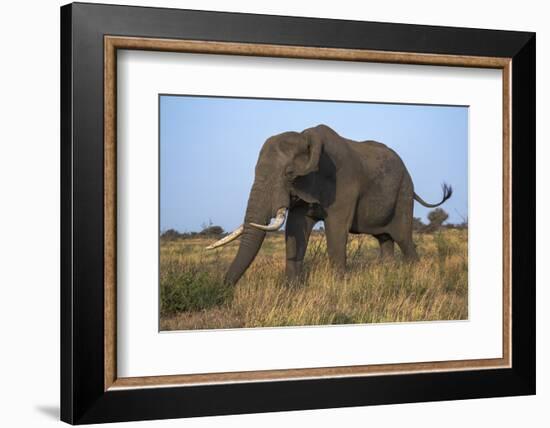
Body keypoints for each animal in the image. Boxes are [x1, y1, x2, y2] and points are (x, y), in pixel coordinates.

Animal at [207, 124, 452, 284]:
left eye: (289, 174)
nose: (224, 289)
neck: (307, 138)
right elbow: (295, 229)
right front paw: (291, 290)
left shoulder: (343, 182)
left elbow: (335, 230)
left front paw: (339, 288)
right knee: (385, 239)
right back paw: (388, 275)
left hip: (403, 193)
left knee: (404, 238)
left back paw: (415, 275)